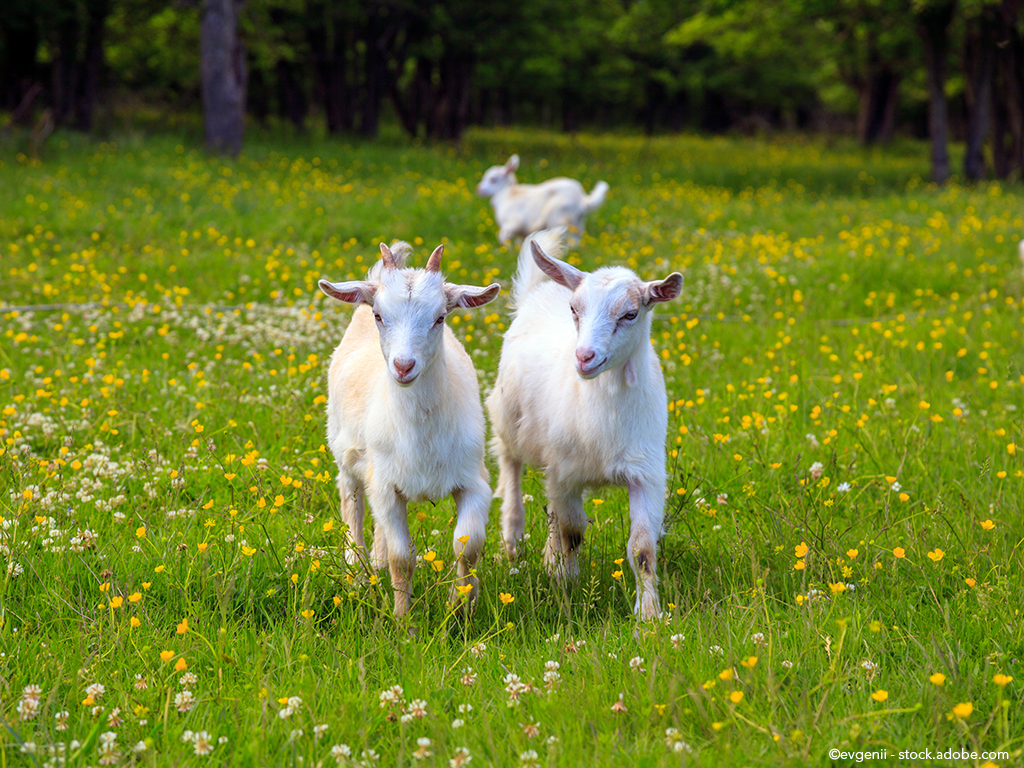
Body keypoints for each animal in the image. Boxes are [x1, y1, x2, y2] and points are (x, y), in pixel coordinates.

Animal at [319, 241, 500, 616]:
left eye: (440, 317)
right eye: (379, 316)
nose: (404, 366)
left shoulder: (473, 481)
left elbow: (469, 546)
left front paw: (462, 605)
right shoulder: (386, 486)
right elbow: (401, 556)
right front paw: (403, 619)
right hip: (347, 459)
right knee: (352, 506)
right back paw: (357, 573)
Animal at [476, 154, 609, 245]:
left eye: (493, 179)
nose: (479, 189)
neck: (506, 194)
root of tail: (582, 200)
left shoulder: (512, 224)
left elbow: (502, 237)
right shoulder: (522, 231)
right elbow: (520, 242)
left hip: (560, 219)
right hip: (577, 222)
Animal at [486, 229, 682, 619]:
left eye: (630, 314)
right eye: (575, 310)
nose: (584, 357)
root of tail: (539, 291)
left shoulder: (646, 472)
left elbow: (642, 548)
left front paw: (649, 613)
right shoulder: (566, 473)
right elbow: (572, 532)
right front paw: (568, 582)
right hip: (506, 417)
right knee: (510, 465)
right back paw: (513, 539)